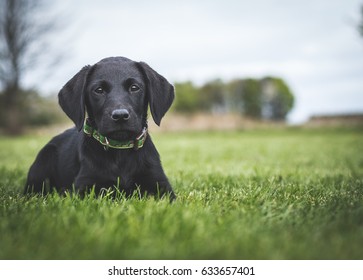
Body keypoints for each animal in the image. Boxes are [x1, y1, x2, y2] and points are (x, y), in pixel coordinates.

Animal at [24, 57, 176, 200]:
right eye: (99, 90)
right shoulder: (84, 186)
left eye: (134, 87)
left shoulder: (161, 185)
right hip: (44, 160)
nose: (120, 116)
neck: (120, 151)